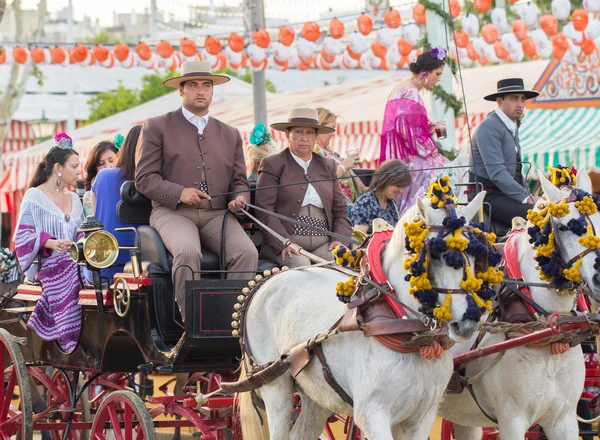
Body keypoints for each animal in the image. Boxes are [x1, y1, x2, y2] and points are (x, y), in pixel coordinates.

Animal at [239, 192, 488, 440]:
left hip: (317, 396)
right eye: (434, 255)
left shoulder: (420, 419)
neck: (412, 338)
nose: (466, 323)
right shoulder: (372, 415)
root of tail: (267, 279)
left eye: (475, 255)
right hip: (276, 387)